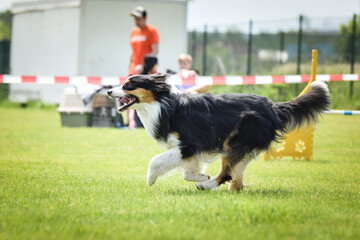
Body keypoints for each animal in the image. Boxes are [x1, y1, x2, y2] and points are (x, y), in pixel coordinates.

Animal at [107, 73, 332, 191]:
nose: (108, 90)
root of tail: (274, 107)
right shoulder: (189, 150)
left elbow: (155, 161)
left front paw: (151, 179)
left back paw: (208, 186)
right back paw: (231, 189)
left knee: (227, 171)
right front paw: (201, 176)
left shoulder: (189, 144)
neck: (162, 104)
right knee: (236, 171)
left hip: (235, 140)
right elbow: (187, 172)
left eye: (129, 84)